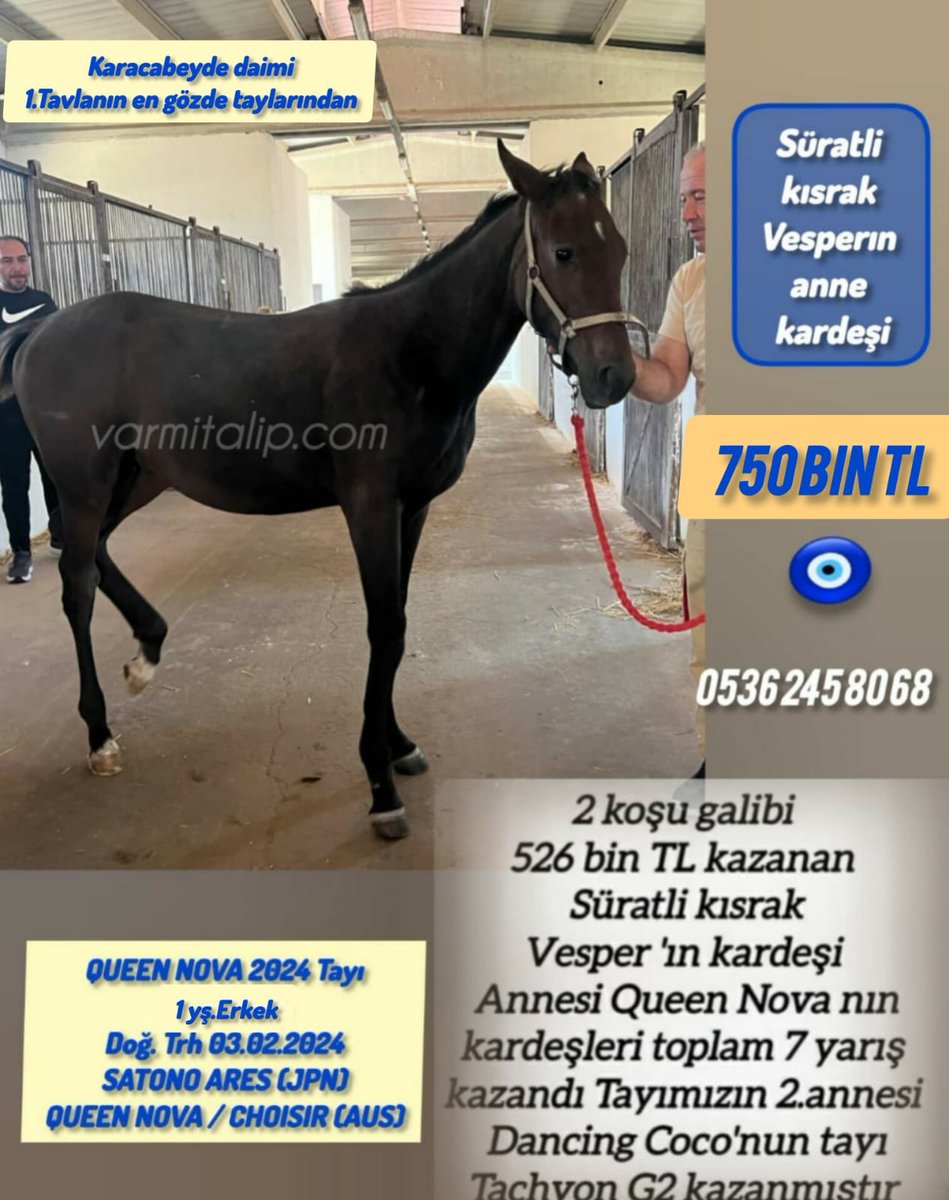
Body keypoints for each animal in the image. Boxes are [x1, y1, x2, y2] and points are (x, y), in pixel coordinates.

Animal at [0, 140, 635, 839]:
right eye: (564, 252)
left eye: (619, 249)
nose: (615, 376)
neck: (409, 353)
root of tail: (40, 332)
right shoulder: (370, 508)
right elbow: (385, 627)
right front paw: (380, 784)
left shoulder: (413, 509)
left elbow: (399, 620)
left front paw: (399, 744)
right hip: (86, 484)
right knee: (77, 585)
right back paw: (100, 735)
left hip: (133, 479)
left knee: (92, 556)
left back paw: (148, 651)